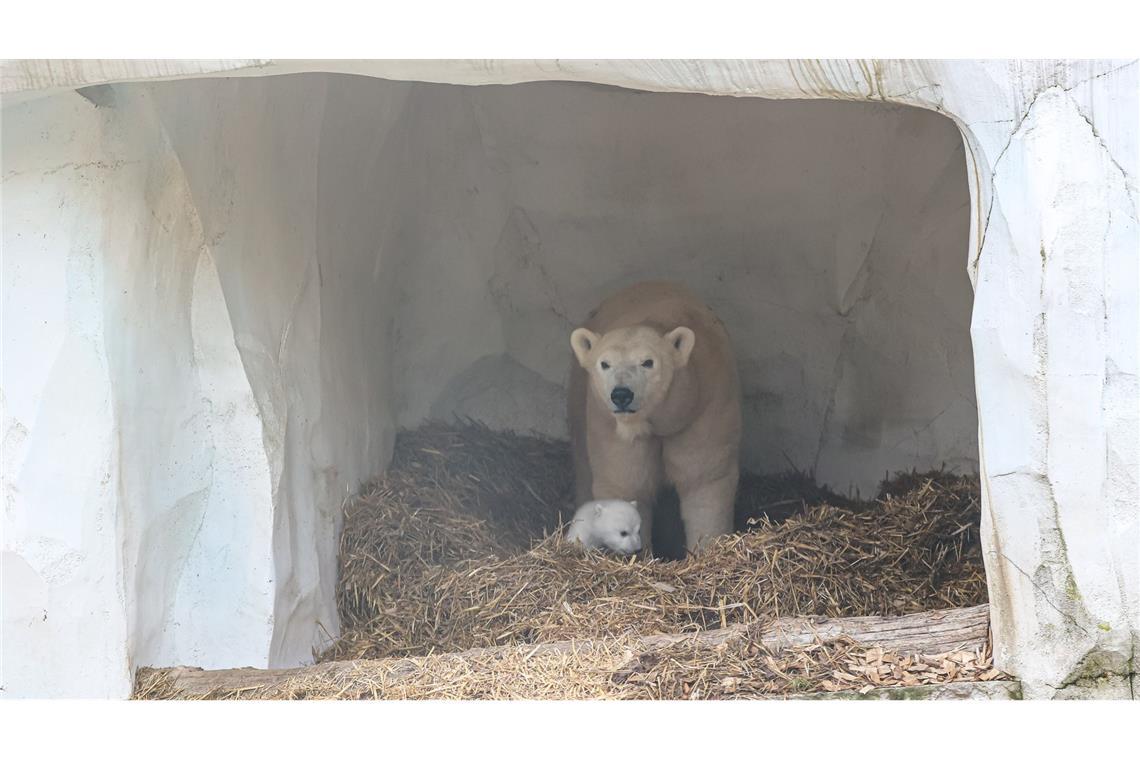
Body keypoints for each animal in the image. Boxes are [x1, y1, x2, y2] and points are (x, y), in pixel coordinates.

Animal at [567, 282, 743, 556]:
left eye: (647, 362)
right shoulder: (609, 426)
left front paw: (707, 549)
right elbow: (626, 482)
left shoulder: (704, 408)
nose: (621, 395)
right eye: (605, 363)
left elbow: (703, 478)